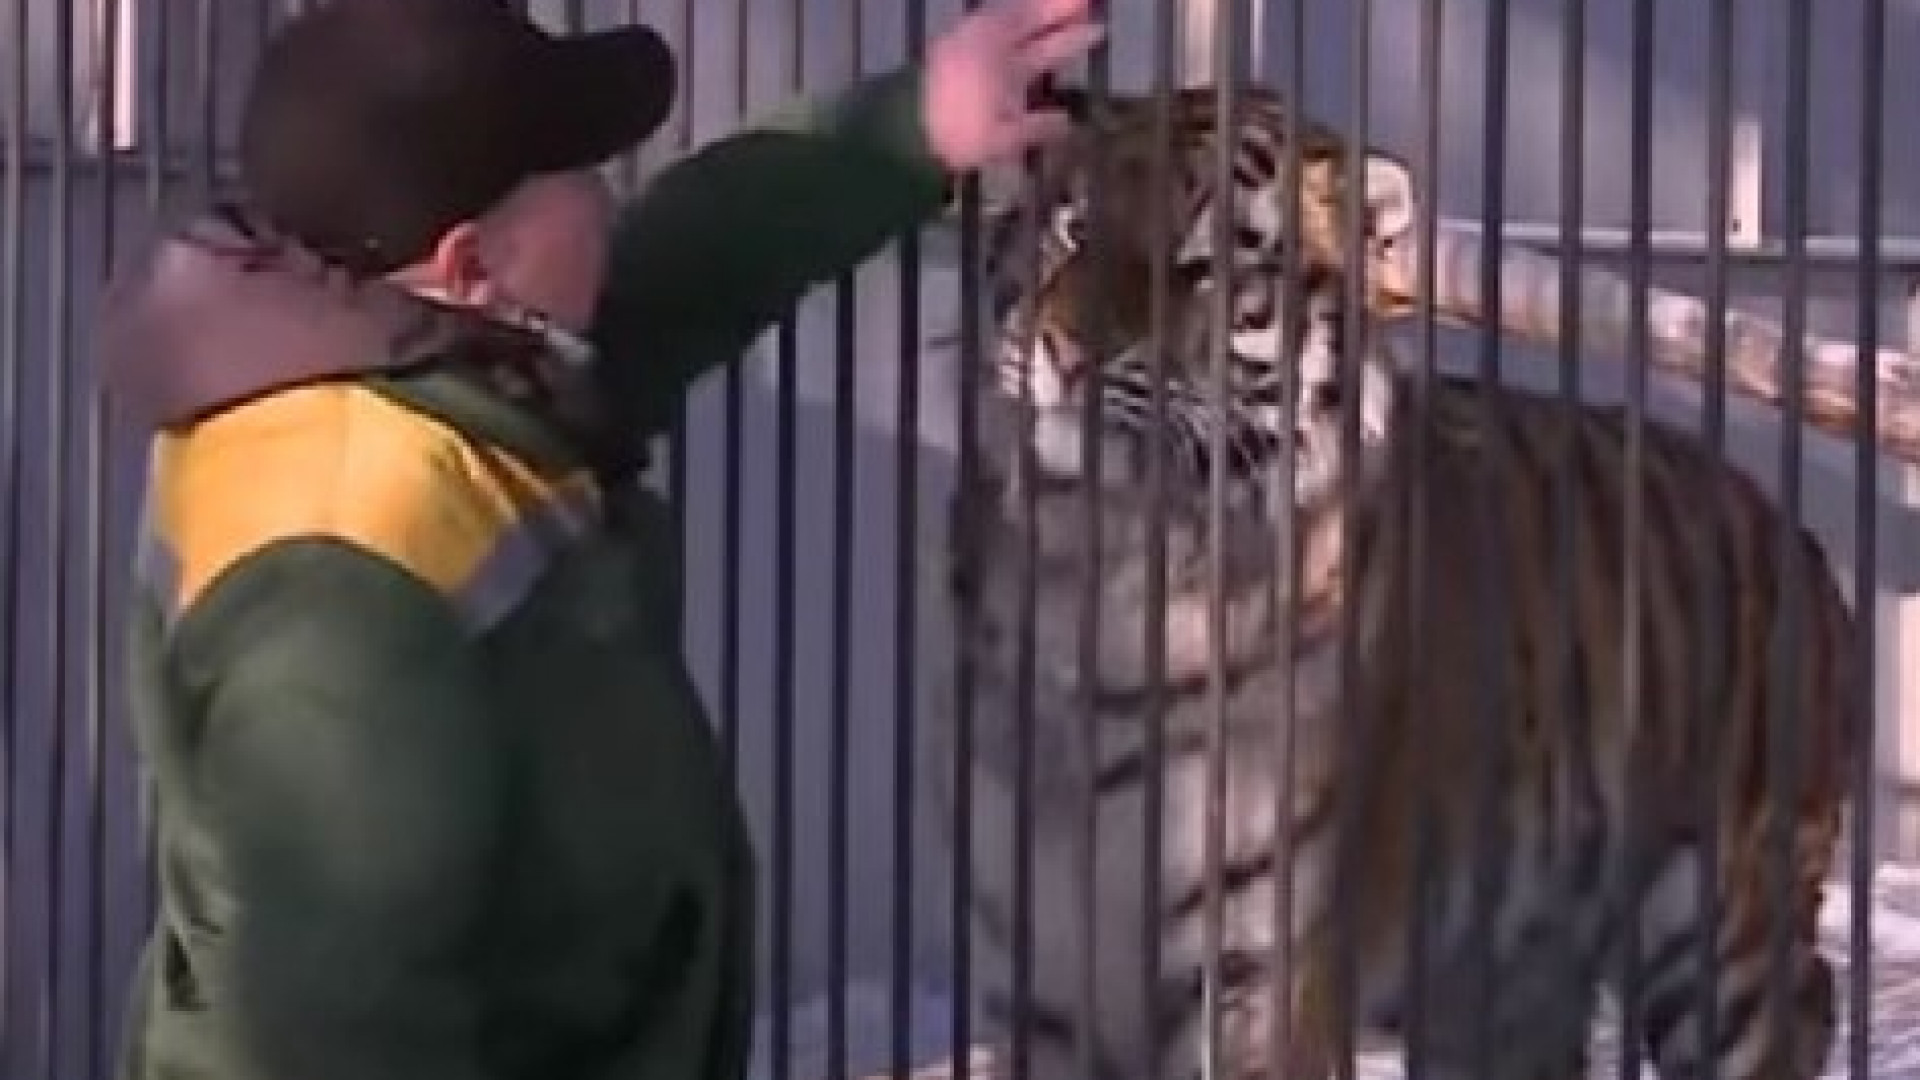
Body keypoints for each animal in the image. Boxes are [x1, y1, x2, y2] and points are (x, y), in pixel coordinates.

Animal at [918, 86, 1855, 1080]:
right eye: (1075, 229)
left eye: (1204, 268)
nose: (1063, 352)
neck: (1098, 566)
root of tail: (1800, 537)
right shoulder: (1043, 984)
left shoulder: (1260, 978)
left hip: (1724, 935)